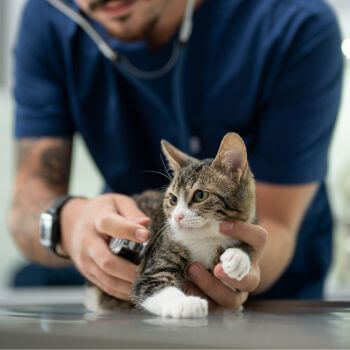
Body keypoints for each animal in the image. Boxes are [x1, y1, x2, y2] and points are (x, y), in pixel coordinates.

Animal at [84, 133, 254, 318]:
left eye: (200, 195)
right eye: (173, 199)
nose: (177, 217)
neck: (206, 238)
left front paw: (237, 257)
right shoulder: (155, 259)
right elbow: (152, 285)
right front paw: (186, 303)